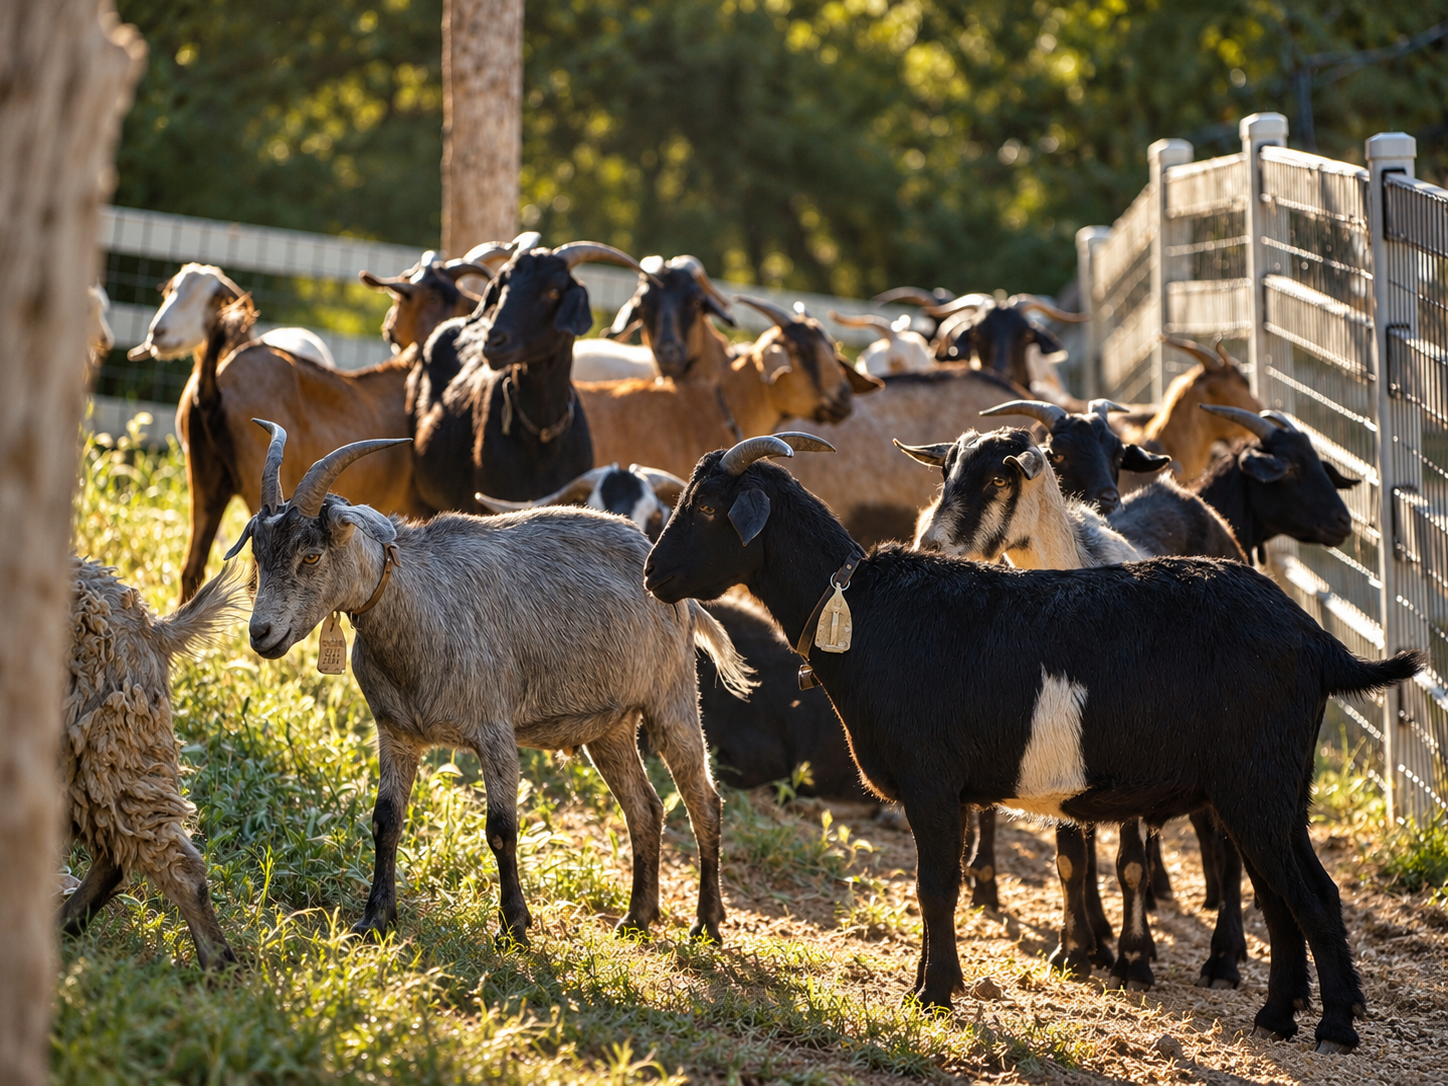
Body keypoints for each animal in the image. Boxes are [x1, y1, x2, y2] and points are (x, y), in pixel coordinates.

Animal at [231, 422, 750, 944]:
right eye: (258, 551)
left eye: (312, 555)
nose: (261, 633)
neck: (420, 608)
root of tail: (658, 567)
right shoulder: (395, 732)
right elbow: (385, 821)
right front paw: (374, 917)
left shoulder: (494, 730)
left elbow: (500, 828)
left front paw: (514, 925)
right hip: (611, 726)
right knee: (645, 808)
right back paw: (638, 916)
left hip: (671, 697)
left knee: (704, 802)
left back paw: (707, 921)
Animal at [645, 432, 1423, 1051]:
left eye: (709, 509)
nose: (653, 574)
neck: (860, 613)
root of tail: (1319, 643)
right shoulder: (952, 793)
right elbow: (946, 884)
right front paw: (939, 983)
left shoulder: (931, 783)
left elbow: (934, 886)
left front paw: (932, 993)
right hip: (1272, 790)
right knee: (1287, 896)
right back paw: (1277, 1017)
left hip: (1256, 784)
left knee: (1309, 897)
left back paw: (1334, 1028)